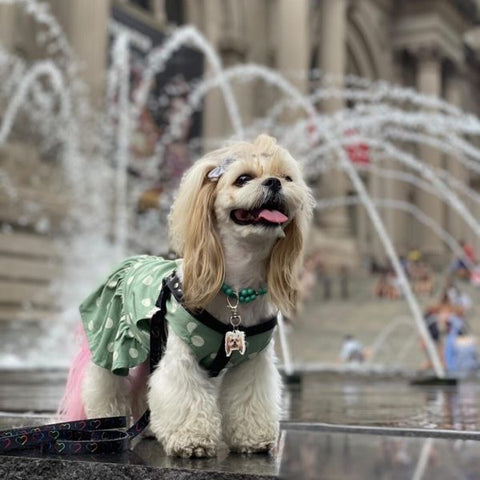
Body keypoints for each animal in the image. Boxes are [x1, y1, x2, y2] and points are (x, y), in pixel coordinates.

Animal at [58, 134, 316, 458]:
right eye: (243, 179)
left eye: (287, 177)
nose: (274, 183)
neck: (236, 290)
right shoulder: (182, 355)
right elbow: (185, 396)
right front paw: (192, 440)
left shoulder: (253, 362)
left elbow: (249, 398)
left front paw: (253, 439)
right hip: (111, 341)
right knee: (105, 384)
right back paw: (107, 427)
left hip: (150, 349)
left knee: (143, 385)